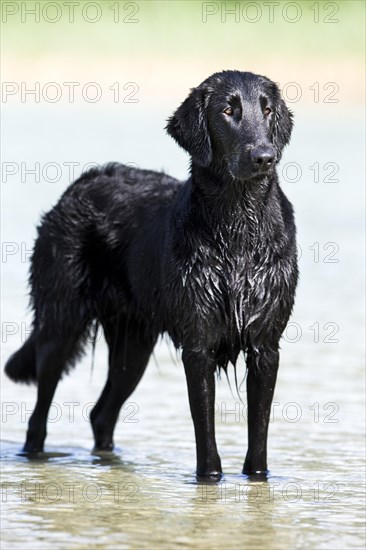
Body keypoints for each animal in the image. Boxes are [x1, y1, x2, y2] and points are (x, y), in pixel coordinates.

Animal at [5, 71, 298, 480]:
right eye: (228, 110)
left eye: (267, 110)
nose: (264, 157)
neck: (238, 225)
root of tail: (76, 187)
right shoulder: (198, 344)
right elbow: (205, 431)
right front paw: (210, 481)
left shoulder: (265, 347)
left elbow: (259, 435)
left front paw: (257, 479)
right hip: (60, 324)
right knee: (39, 415)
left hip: (134, 344)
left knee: (101, 414)